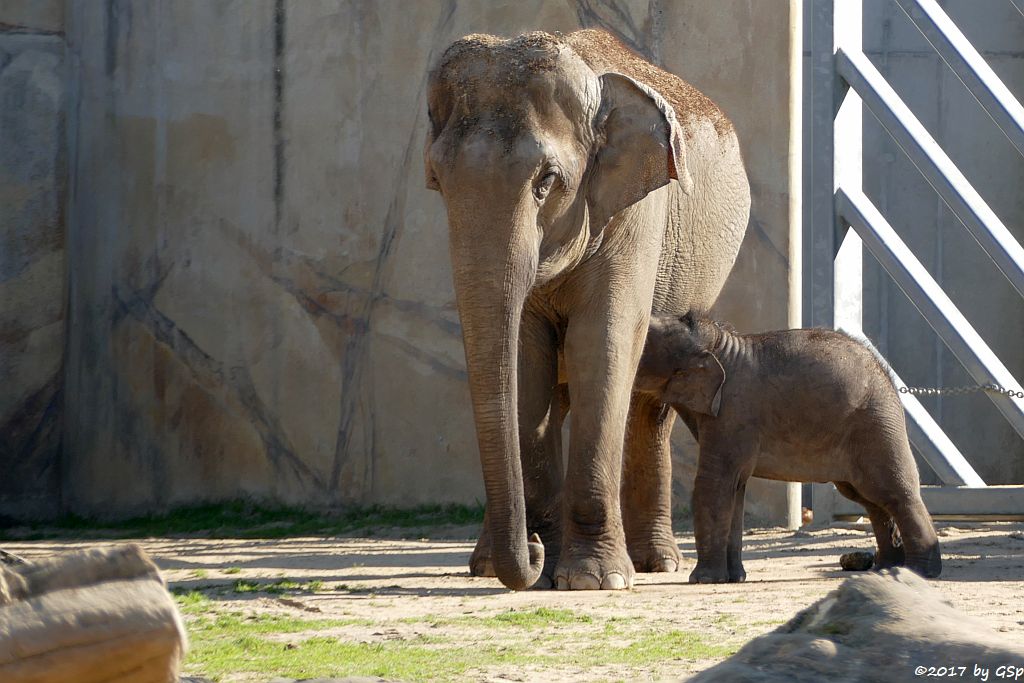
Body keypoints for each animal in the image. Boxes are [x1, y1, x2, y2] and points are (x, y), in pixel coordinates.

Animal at [423, 29, 753, 589]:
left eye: (546, 182)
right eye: (438, 183)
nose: (533, 553)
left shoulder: (634, 214)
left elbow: (601, 345)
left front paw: (594, 580)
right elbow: (525, 359)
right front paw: (544, 565)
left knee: (649, 408)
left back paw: (657, 562)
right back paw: (488, 564)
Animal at [638, 313, 942, 585]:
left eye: (642, 342)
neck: (719, 343)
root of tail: (886, 373)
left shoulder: (733, 414)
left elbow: (712, 483)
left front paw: (702, 580)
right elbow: (735, 487)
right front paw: (734, 578)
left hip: (875, 425)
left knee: (894, 493)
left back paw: (920, 572)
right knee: (870, 499)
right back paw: (885, 570)